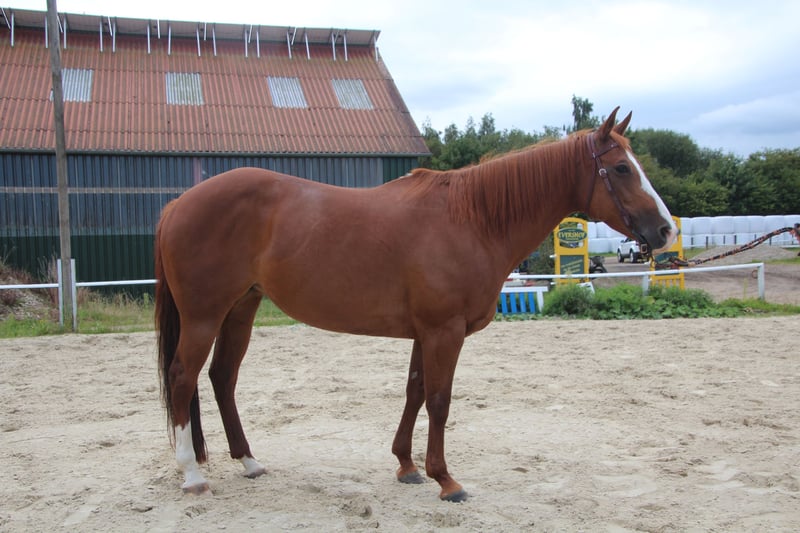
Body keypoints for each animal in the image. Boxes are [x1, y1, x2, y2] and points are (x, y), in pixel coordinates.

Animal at [155, 107, 677, 501]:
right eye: (622, 168)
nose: (666, 230)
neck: (472, 220)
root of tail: (178, 204)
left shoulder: (424, 333)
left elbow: (414, 391)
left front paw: (407, 466)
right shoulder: (444, 331)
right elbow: (440, 400)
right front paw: (446, 480)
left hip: (240, 309)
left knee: (222, 378)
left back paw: (249, 461)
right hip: (204, 316)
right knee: (183, 378)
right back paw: (193, 475)